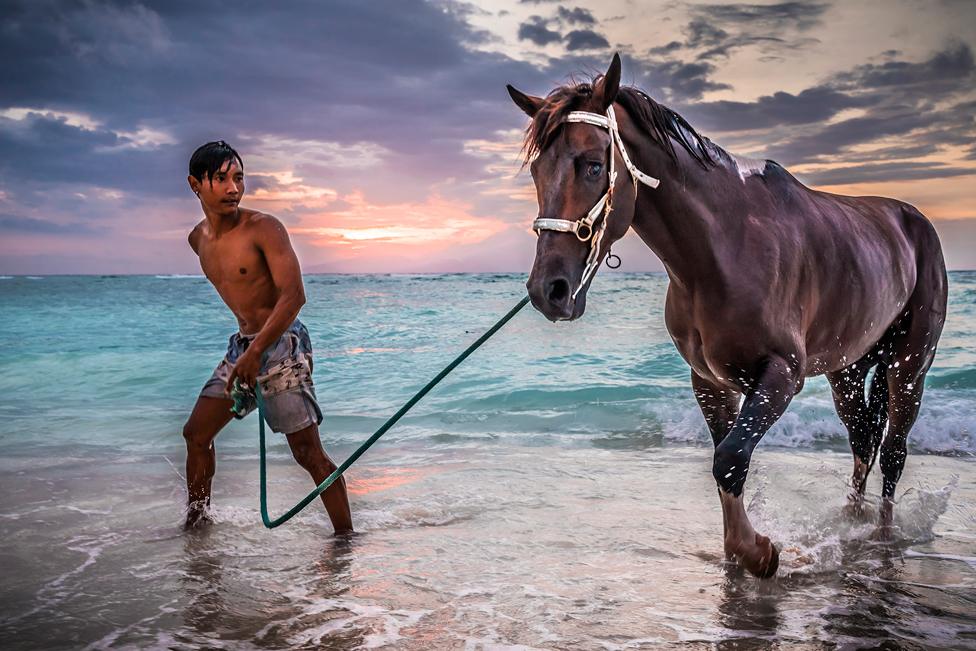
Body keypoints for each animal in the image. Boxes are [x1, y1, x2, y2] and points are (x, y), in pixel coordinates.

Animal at [508, 53, 948, 580]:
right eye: (538, 171)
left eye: (593, 165)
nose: (547, 291)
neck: (721, 252)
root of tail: (914, 220)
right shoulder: (711, 381)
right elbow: (726, 463)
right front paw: (740, 550)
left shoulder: (780, 374)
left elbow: (730, 458)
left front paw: (758, 551)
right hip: (848, 367)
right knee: (862, 437)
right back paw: (852, 523)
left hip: (909, 366)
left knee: (894, 451)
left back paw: (881, 537)